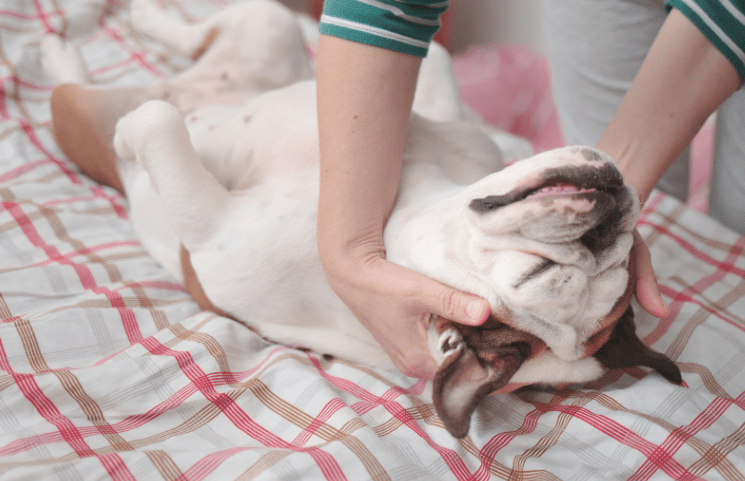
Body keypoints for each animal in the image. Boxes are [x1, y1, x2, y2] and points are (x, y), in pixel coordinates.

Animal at [42, 0, 681, 439]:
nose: (603, 226)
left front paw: (133, 139)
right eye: (623, 258)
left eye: (535, 281)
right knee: (213, 35)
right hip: (266, 34)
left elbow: (157, 123)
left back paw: (73, 48)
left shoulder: (212, 230)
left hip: (86, 115)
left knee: (114, 92)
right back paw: (140, 21)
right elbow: (438, 57)